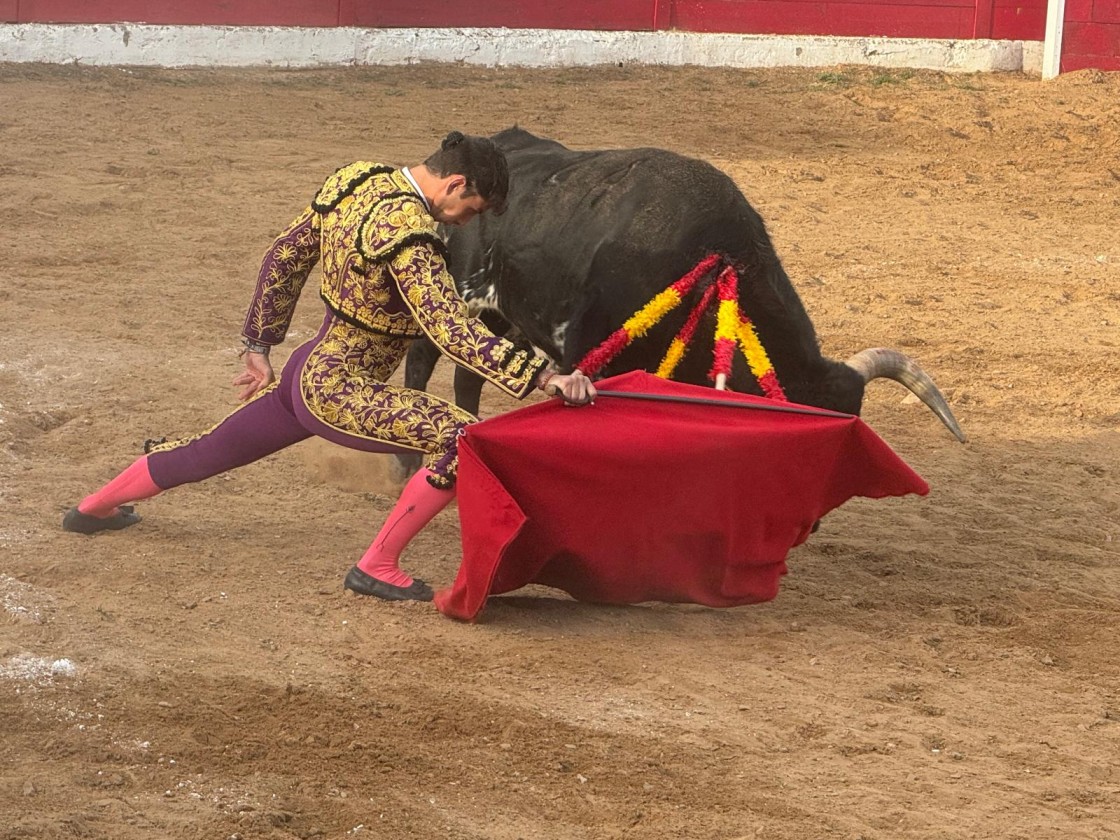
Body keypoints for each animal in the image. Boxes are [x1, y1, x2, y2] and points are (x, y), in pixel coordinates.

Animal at [398, 128, 967, 477]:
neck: (713, 262)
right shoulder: (590, 353)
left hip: (505, 314)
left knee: (471, 373)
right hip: (452, 292)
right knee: (425, 357)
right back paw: (408, 464)